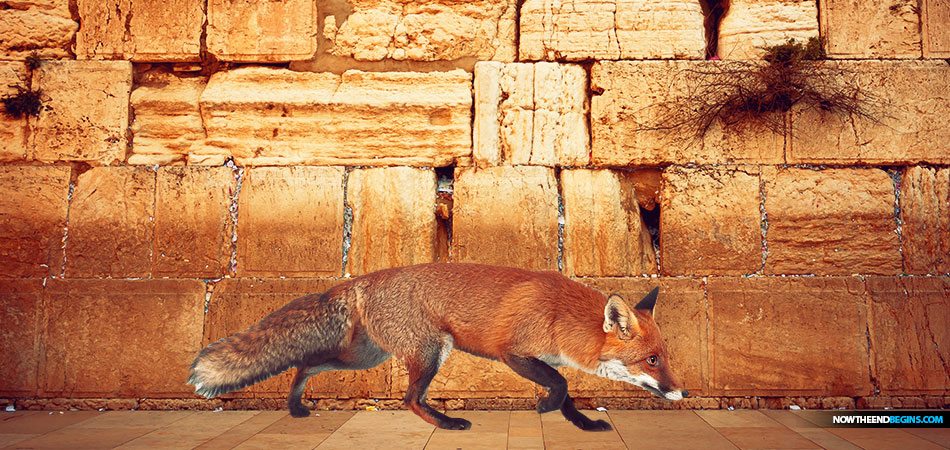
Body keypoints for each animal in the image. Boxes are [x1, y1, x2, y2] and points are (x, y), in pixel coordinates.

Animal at [188, 262, 692, 430]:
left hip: (365, 356)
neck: (560, 316)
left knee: (306, 364)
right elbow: (562, 384)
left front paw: (582, 424)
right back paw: (448, 424)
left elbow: (568, 392)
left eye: (666, 357)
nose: (683, 392)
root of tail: (363, 279)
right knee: (410, 400)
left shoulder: (538, 358)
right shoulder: (513, 352)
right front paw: (546, 408)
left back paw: (294, 406)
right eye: (651, 360)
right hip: (429, 354)